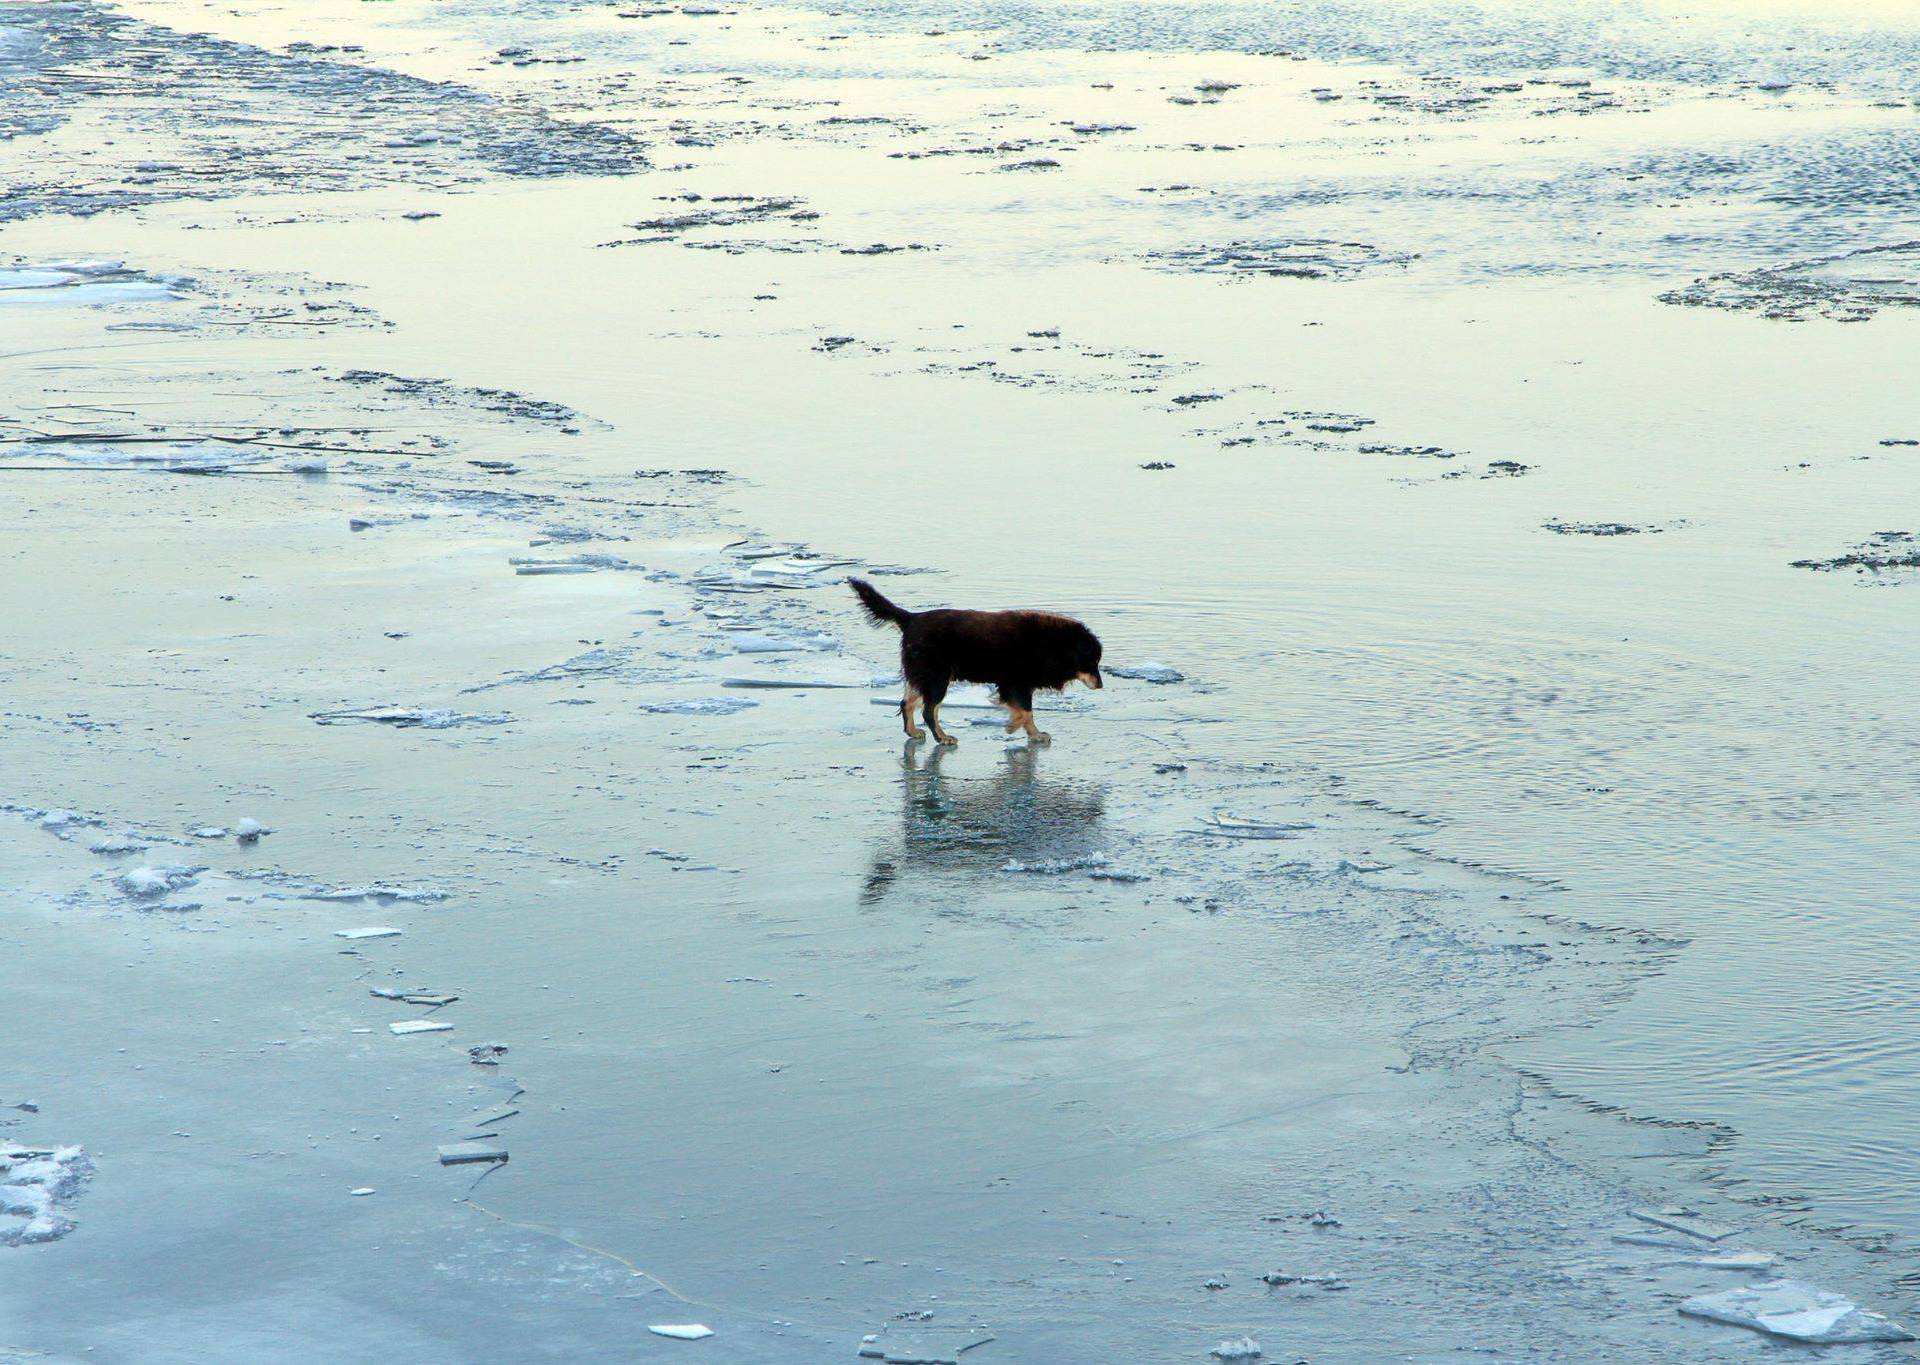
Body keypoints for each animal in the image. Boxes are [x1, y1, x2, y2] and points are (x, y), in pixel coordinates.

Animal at [852, 579, 1105, 748]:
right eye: (1092, 661)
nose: (1101, 685)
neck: (1052, 643)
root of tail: (911, 618)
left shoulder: (1015, 685)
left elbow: (1025, 712)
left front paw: (1032, 733)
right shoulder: (1016, 683)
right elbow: (1026, 712)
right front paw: (1014, 727)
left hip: (923, 675)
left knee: (907, 703)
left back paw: (913, 732)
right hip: (937, 678)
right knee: (928, 711)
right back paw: (942, 737)